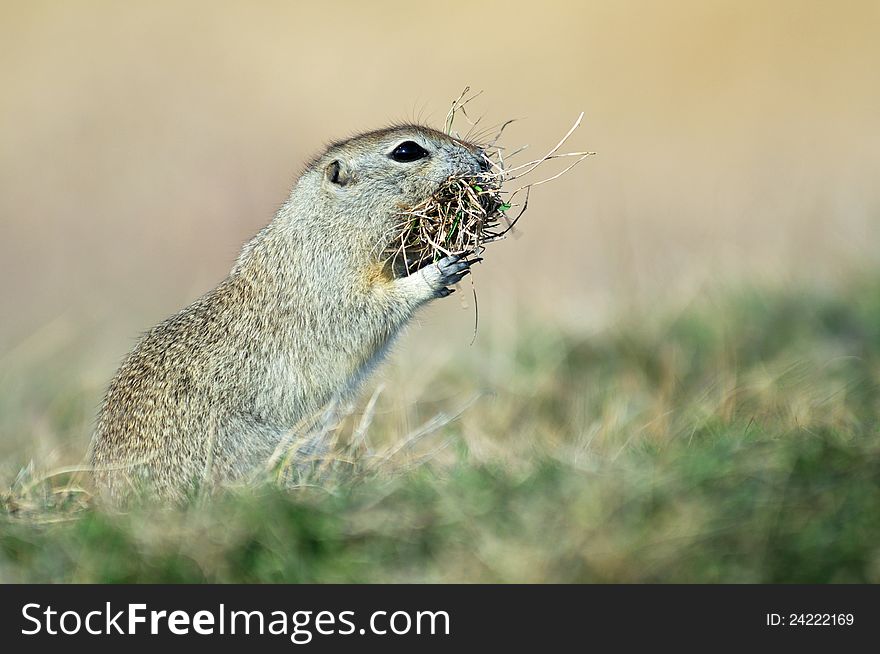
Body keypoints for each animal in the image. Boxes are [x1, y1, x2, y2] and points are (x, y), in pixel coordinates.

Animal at [91, 125, 482, 502]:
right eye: (407, 151)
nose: (480, 157)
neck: (328, 223)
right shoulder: (332, 283)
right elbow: (366, 310)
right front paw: (438, 271)